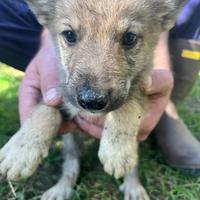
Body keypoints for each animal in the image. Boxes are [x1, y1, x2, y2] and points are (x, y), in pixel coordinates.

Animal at [0, 0, 185, 199]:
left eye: (130, 38)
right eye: (69, 35)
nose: (91, 101)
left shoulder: (143, 89)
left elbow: (127, 106)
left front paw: (116, 150)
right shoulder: (61, 96)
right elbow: (44, 111)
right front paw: (20, 151)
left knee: (133, 166)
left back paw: (134, 187)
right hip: (71, 140)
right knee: (71, 163)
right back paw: (62, 187)